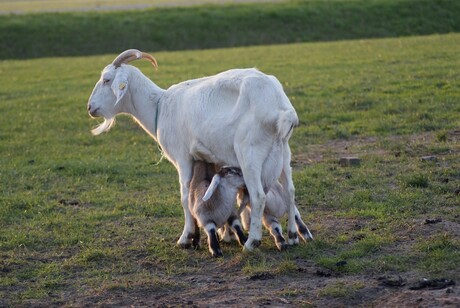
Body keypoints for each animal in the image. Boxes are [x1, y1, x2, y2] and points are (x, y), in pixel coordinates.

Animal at [87, 48, 306, 250]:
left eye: (106, 80)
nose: (90, 107)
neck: (159, 105)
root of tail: (281, 108)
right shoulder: (214, 158)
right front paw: (222, 234)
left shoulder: (183, 158)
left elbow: (185, 196)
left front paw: (186, 237)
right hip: (283, 151)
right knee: (289, 189)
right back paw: (293, 235)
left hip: (249, 152)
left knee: (259, 195)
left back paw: (252, 241)